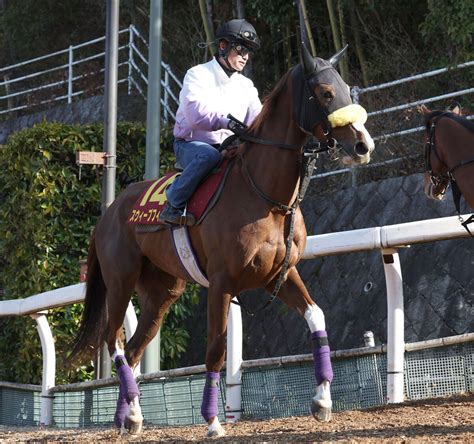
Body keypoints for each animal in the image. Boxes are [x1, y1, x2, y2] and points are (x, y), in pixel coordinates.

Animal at [70, 46, 374, 438]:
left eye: (348, 89)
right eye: (324, 93)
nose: (363, 145)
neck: (265, 196)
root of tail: (108, 213)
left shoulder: (281, 274)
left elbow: (316, 316)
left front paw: (322, 400)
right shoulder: (221, 283)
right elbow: (216, 348)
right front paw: (213, 421)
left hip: (162, 293)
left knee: (135, 349)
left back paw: (130, 417)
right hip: (121, 280)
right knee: (115, 342)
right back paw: (133, 410)